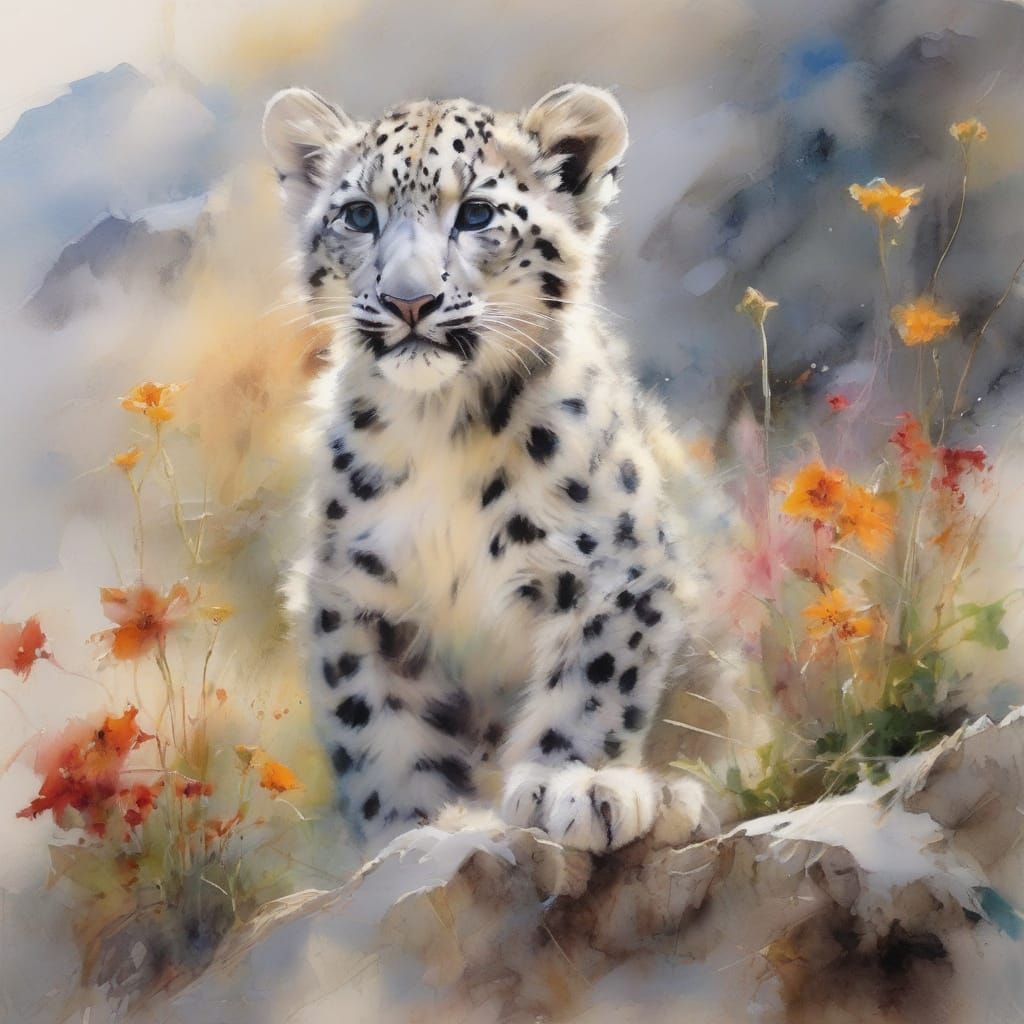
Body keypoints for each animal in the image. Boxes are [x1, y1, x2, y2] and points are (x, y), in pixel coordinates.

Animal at [264, 82, 711, 854]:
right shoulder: (355, 595)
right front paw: (411, 825)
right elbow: (377, 723)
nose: (408, 300)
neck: (441, 426)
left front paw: (575, 784)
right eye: (359, 214)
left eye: (476, 213)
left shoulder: (616, 569)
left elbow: (594, 681)